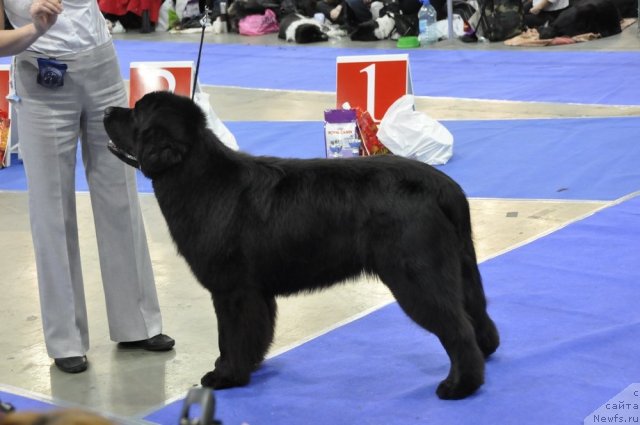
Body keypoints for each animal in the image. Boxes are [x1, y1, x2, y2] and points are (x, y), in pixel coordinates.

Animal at [104, 91, 500, 400]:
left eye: (136, 112)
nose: (107, 111)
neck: (200, 178)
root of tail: (443, 186)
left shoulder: (232, 290)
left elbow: (230, 334)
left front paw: (225, 376)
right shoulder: (255, 291)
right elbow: (254, 332)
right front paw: (246, 366)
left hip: (416, 274)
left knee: (457, 328)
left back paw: (459, 386)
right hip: (460, 267)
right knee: (477, 315)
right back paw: (484, 357)